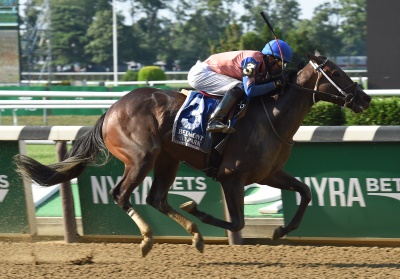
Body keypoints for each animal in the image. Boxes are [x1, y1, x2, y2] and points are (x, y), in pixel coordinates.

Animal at [14, 53, 372, 258]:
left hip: (168, 159)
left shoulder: (269, 173)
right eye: (336, 73)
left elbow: (306, 191)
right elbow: (237, 220)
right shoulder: (232, 176)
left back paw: (194, 236)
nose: (366, 98)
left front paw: (281, 231)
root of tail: (111, 109)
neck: (273, 114)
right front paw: (196, 208)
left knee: (156, 198)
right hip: (142, 156)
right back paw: (149, 237)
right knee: (121, 194)